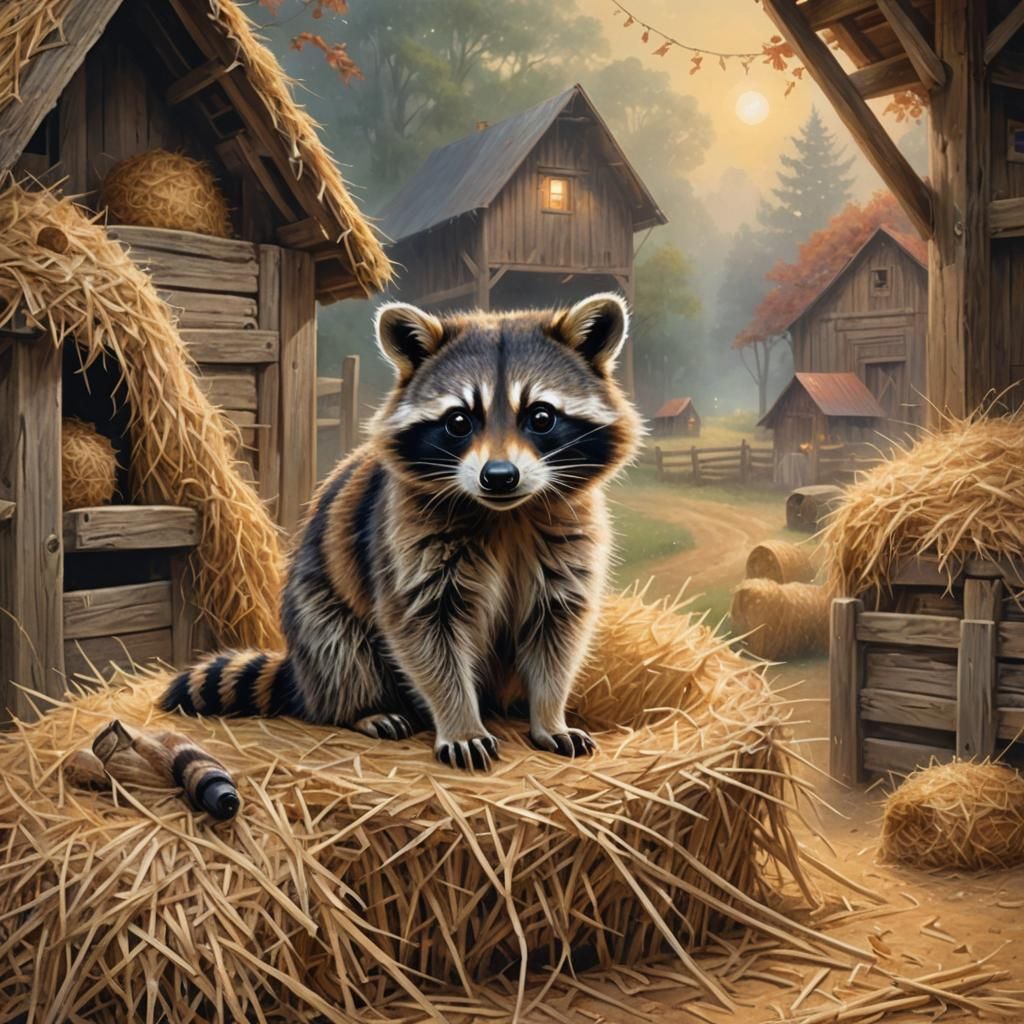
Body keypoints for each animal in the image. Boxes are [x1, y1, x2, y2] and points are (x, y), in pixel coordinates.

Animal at [161, 293, 642, 770]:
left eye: (541, 417)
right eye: (459, 421)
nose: (500, 476)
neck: (505, 514)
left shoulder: (570, 535)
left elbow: (557, 629)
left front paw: (549, 714)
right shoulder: (403, 536)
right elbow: (425, 633)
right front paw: (460, 722)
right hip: (316, 611)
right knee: (339, 649)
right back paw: (363, 709)